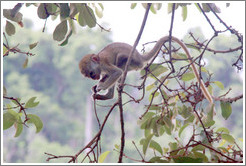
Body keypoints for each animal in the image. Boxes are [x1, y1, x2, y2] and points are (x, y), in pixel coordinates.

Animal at [79, 36, 213, 104]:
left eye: (91, 73)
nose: (95, 77)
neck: (98, 59)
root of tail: (139, 56)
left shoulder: (104, 63)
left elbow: (117, 72)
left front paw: (101, 86)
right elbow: (108, 75)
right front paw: (97, 86)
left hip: (133, 61)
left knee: (120, 60)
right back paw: (108, 95)